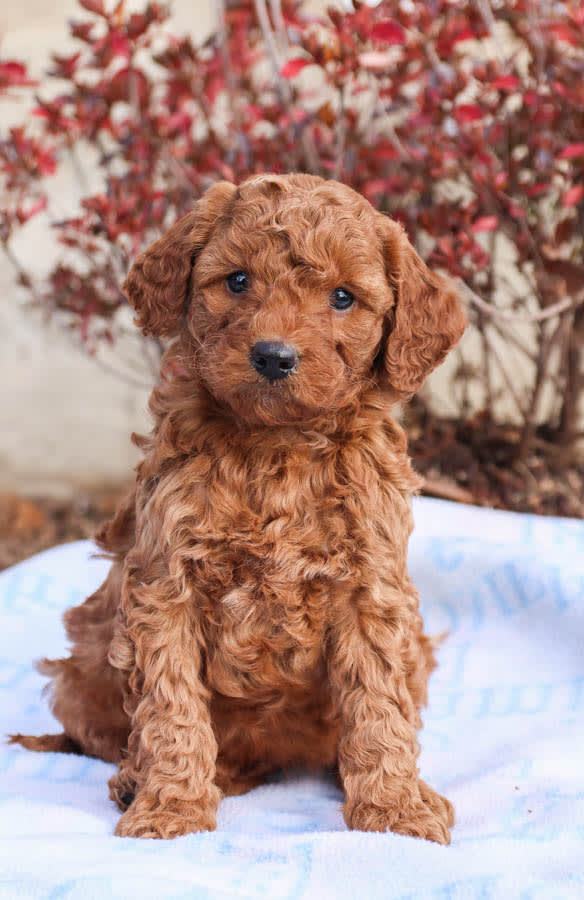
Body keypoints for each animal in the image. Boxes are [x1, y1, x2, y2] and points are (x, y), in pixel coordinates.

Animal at [12, 174, 466, 844]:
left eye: (342, 297)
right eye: (237, 280)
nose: (274, 356)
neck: (274, 443)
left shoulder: (371, 585)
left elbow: (379, 705)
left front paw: (395, 809)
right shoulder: (164, 583)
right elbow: (171, 706)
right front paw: (171, 807)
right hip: (83, 667)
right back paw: (137, 780)